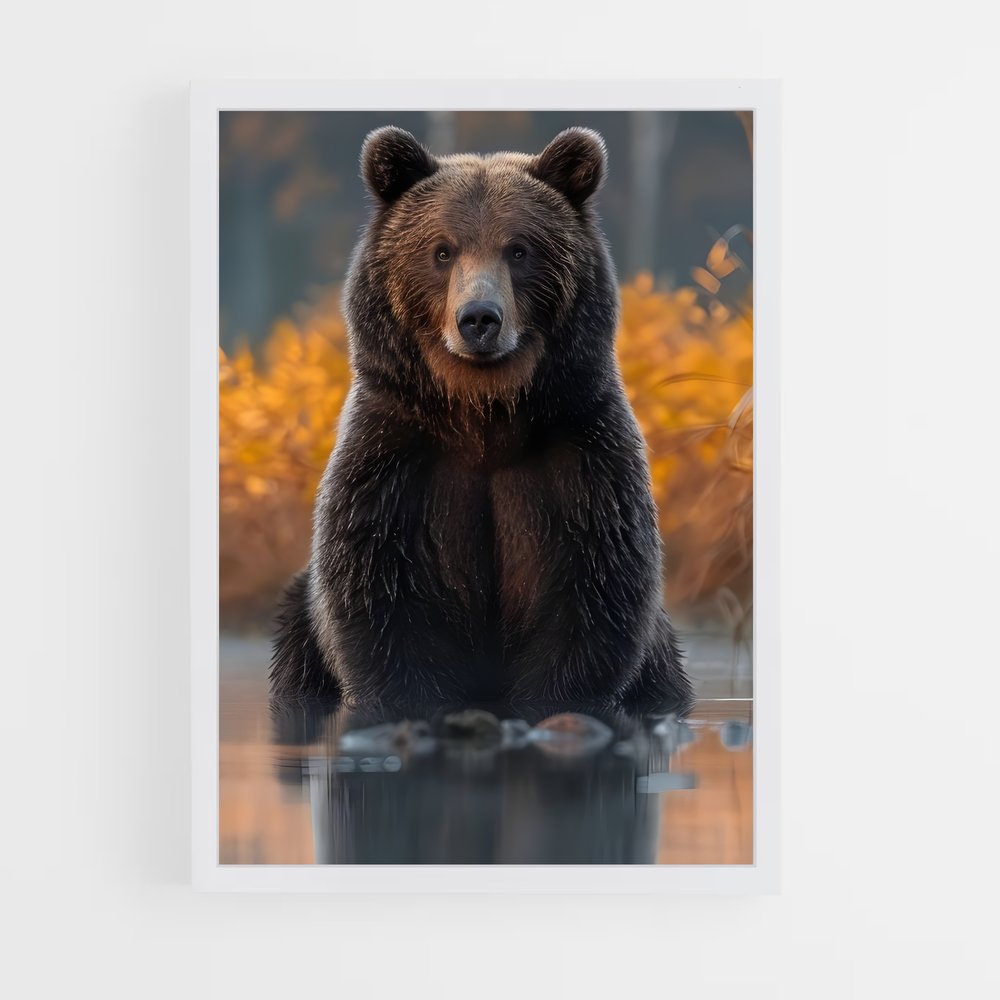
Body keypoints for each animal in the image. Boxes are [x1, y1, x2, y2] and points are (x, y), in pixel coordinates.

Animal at [270, 125, 692, 712]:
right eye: (442, 250)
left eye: (519, 249)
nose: (479, 319)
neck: (484, 415)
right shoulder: (394, 458)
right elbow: (379, 598)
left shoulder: (581, 456)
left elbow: (594, 590)